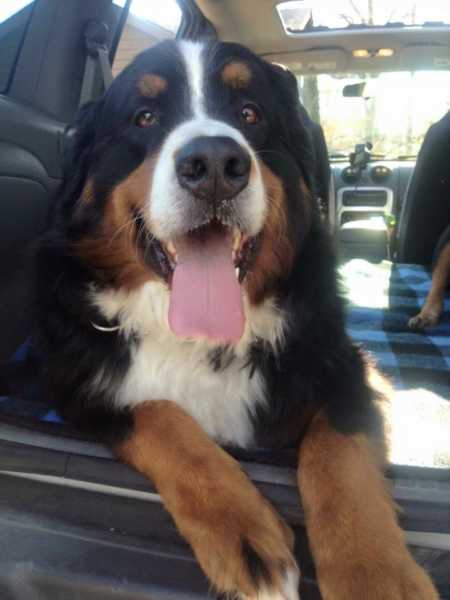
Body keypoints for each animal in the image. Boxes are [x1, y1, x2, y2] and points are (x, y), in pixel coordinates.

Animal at [36, 39, 440, 596]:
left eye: (250, 113)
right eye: (144, 117)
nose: (212, 163)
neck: (201, 341)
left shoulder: (346, 372)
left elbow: (338, 448)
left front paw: (374, 572)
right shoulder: (76, 386)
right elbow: (159, 417)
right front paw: (244, 531)